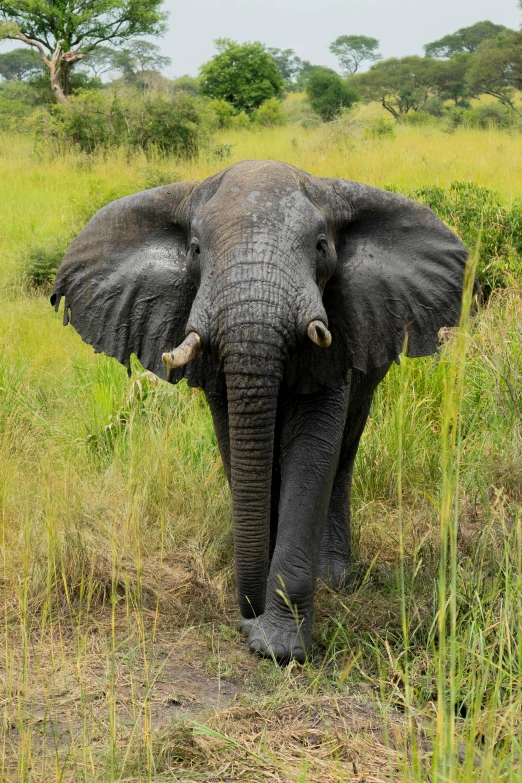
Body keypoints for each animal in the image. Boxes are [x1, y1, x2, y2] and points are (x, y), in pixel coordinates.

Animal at [51, 162, 468, 664]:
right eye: (195, 250)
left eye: (321, 246)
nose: (244, 614)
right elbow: (238, 443)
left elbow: (313, 451)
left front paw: (276, 647)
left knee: (344, 453)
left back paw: (334, 579)